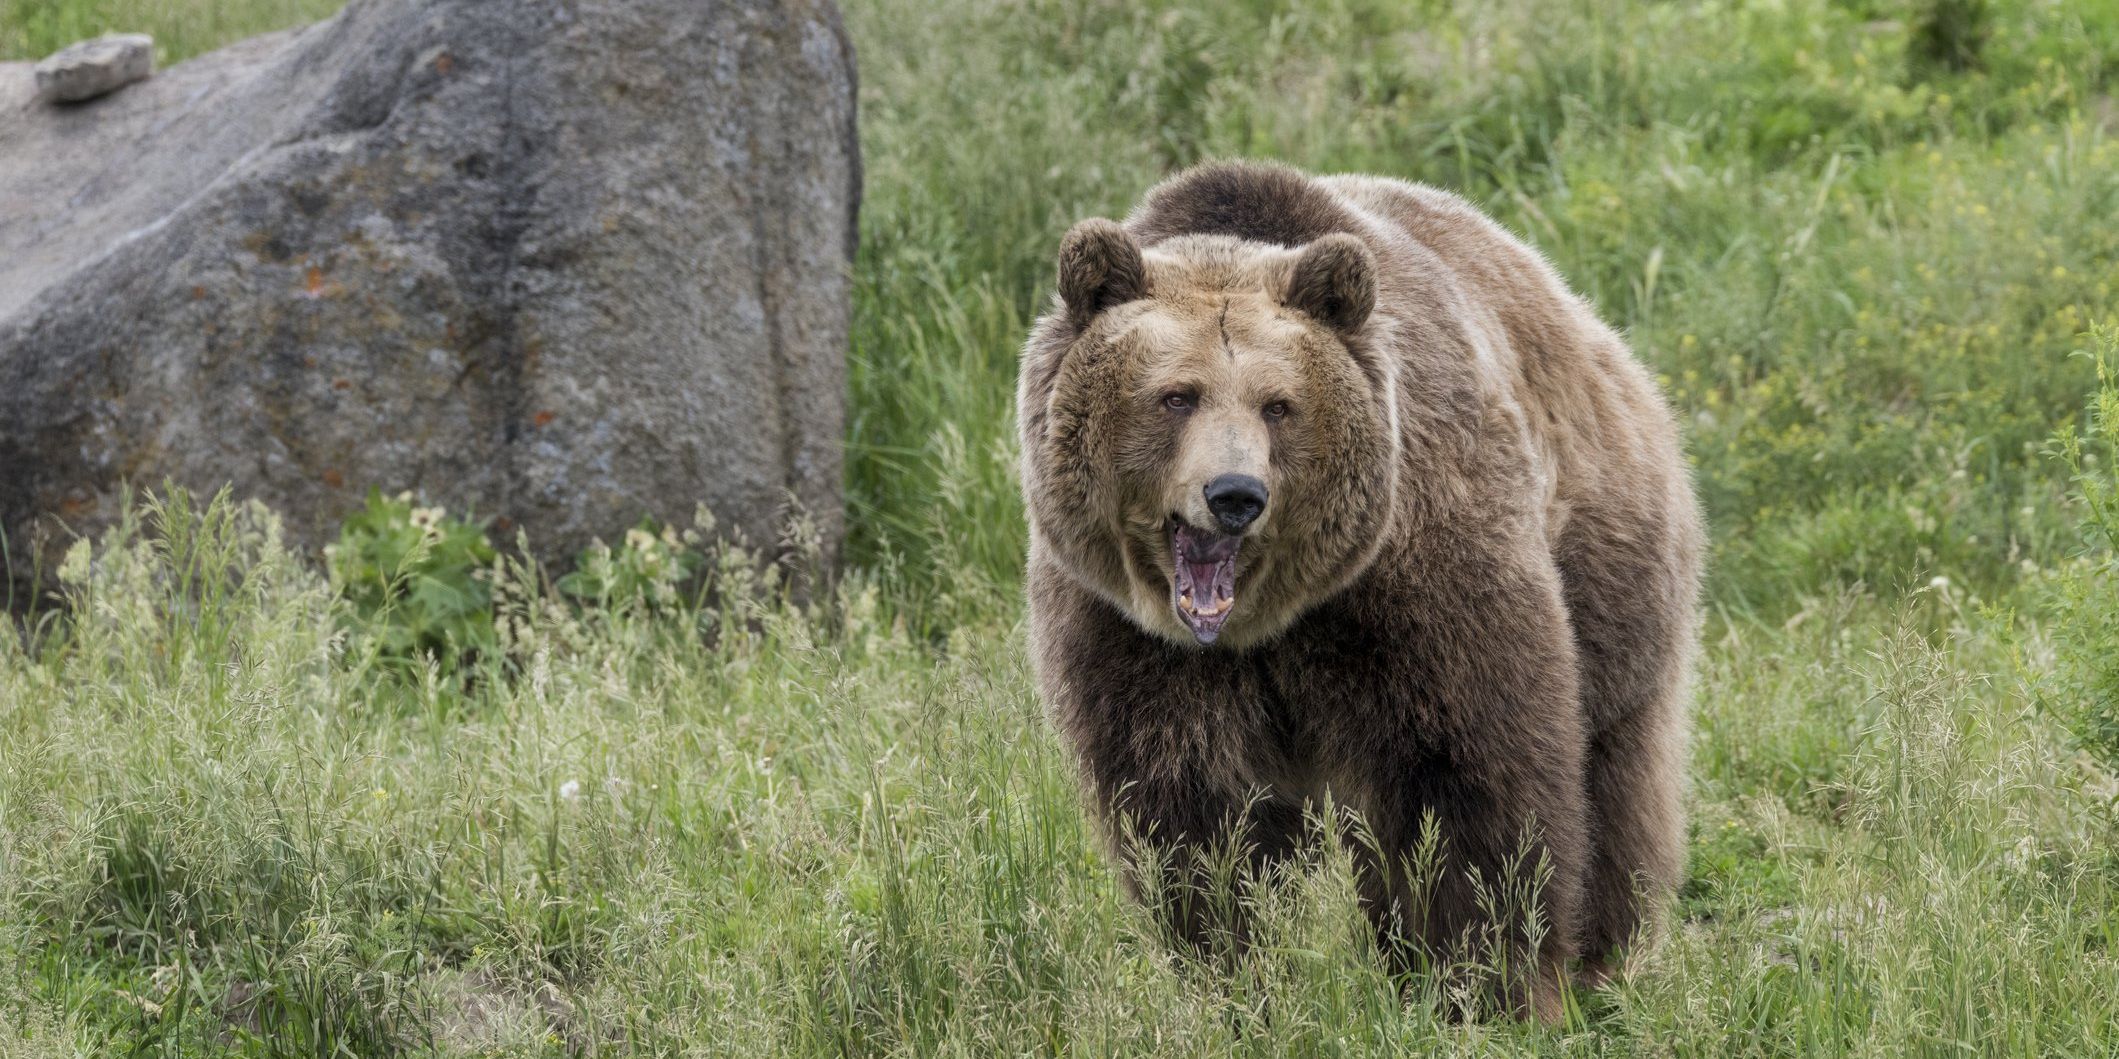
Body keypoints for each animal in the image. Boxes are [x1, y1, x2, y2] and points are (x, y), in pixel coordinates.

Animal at [1017, 161, 1703, 1019]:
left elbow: (1463, 777)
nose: (1234, 494)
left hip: (1609, 562)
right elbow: (1195, 815)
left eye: (1278, 403)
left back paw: (1600, 959)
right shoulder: (1130, 635)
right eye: (1176, 395)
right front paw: (1237, 977)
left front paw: (1483, 984)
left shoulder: (1413, 578)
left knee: (1613, 772)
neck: (1267, 622)